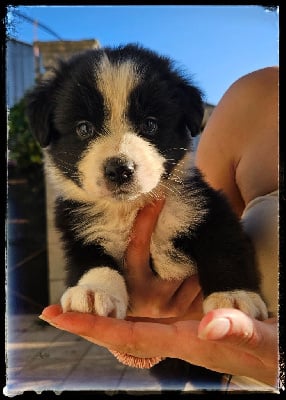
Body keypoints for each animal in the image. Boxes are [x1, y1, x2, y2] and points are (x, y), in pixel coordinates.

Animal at [25, 43, 268, 318]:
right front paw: (94, 291)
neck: (127, 209)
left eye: (150, 124)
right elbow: (92, 261)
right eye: (83, 128)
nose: (120, 169)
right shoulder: (77, 228)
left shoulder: (207, 207)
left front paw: (234, 296)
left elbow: (223, 246)